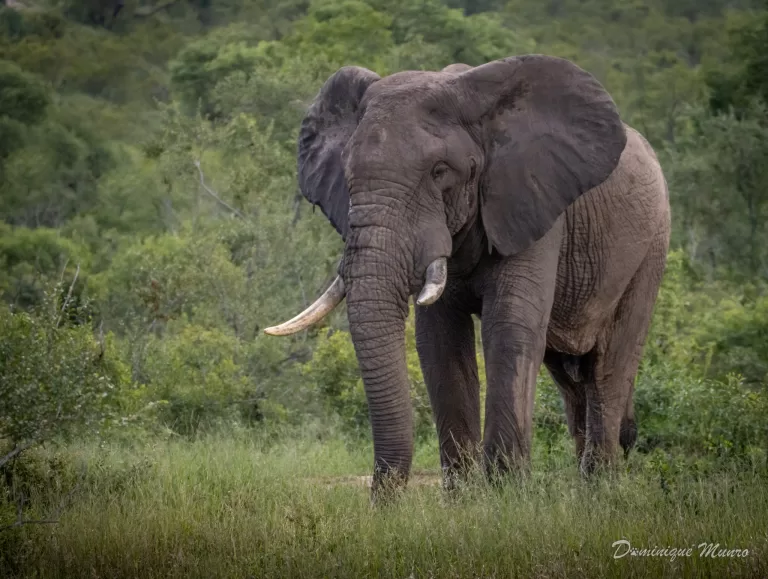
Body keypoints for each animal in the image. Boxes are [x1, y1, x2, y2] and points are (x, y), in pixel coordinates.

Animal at [265, 54, 671, 495]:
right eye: (348, 173)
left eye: (440, 171)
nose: (381, 502)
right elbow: (439, 341)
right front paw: (463, 499)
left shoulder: (532, 204)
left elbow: (509, 328)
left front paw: (505, 496)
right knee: (571, 376)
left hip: (651, 247)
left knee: (608, 366)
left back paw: (602, 487)